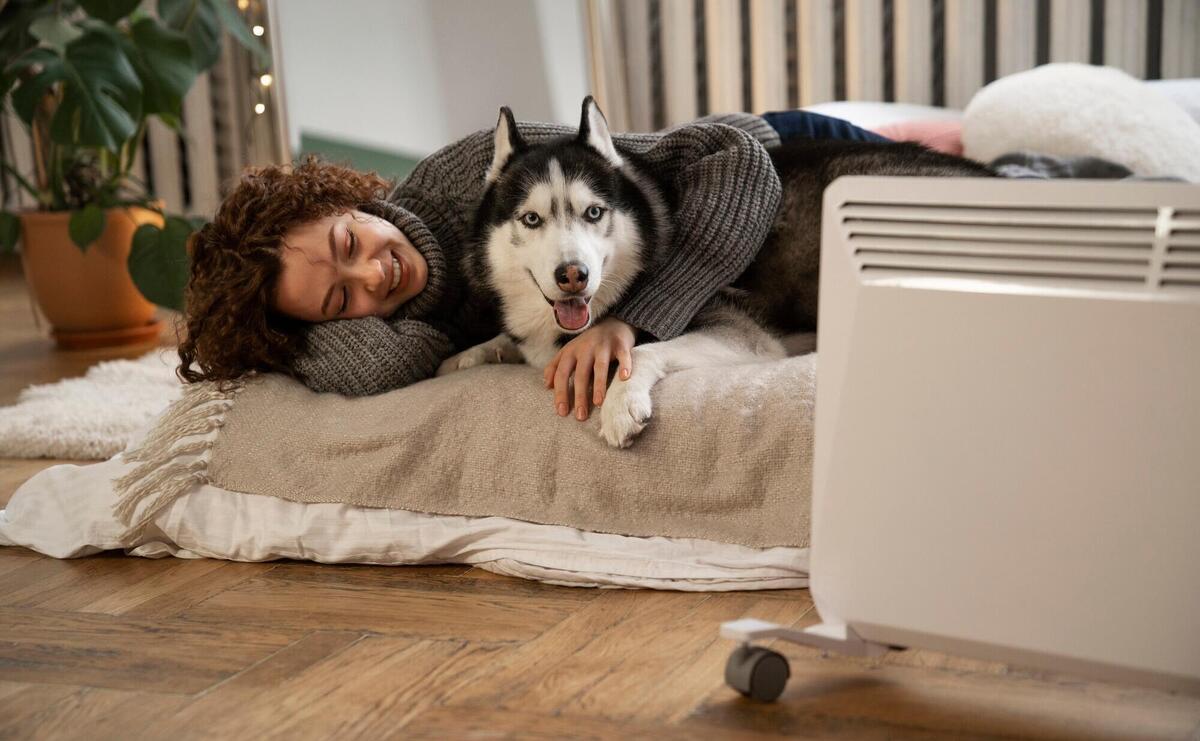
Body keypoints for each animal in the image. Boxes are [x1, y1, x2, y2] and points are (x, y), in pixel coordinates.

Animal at [446, 97, 988, 443]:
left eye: (594, 212)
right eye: (531, 219)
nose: (572, 274)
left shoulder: (742, 333)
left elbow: (643, 350)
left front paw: (621, 403)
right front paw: (466, 355)